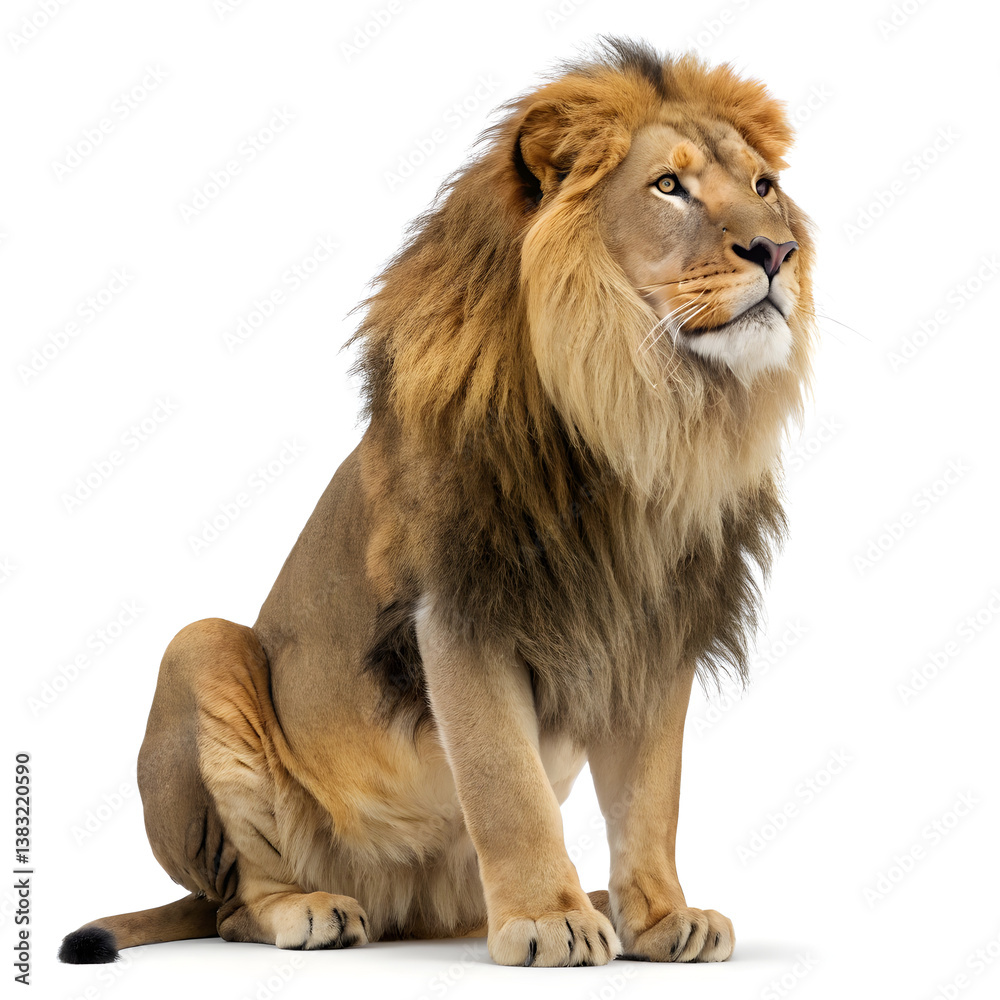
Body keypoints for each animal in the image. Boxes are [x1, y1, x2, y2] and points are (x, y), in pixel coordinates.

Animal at [60, 37, 814, 968]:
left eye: (764, 186)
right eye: (668, 186)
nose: (777, 251)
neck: (639, 414)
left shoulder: (658, 628)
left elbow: (651, 798)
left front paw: (661, 917)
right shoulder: (460, 609)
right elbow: (506, 783)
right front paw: (549, 920)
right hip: (198, 652)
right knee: (237, 901)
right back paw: (313, 909)